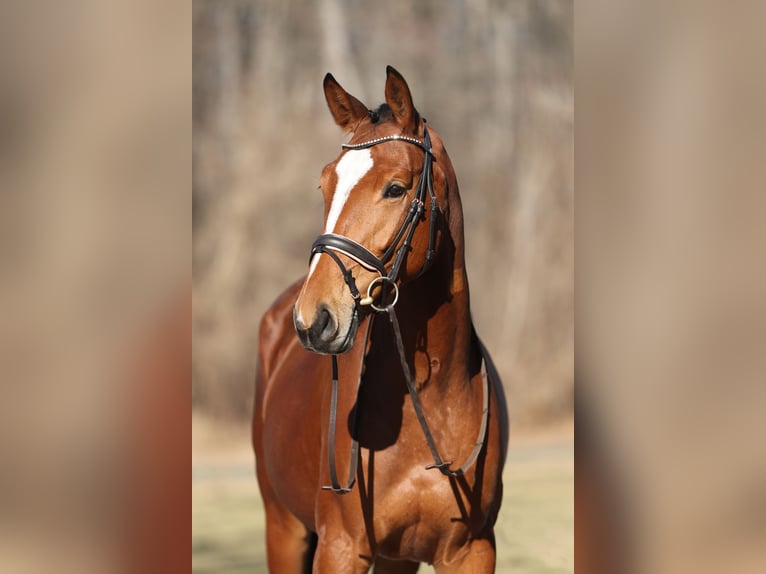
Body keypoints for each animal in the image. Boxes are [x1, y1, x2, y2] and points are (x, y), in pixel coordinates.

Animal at [253, 66, 508, 573]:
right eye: (325, 186)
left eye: (395, 188)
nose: (313, 319)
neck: (431, 399)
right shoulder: (340, 548)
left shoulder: (472, 551)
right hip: (283, 529)